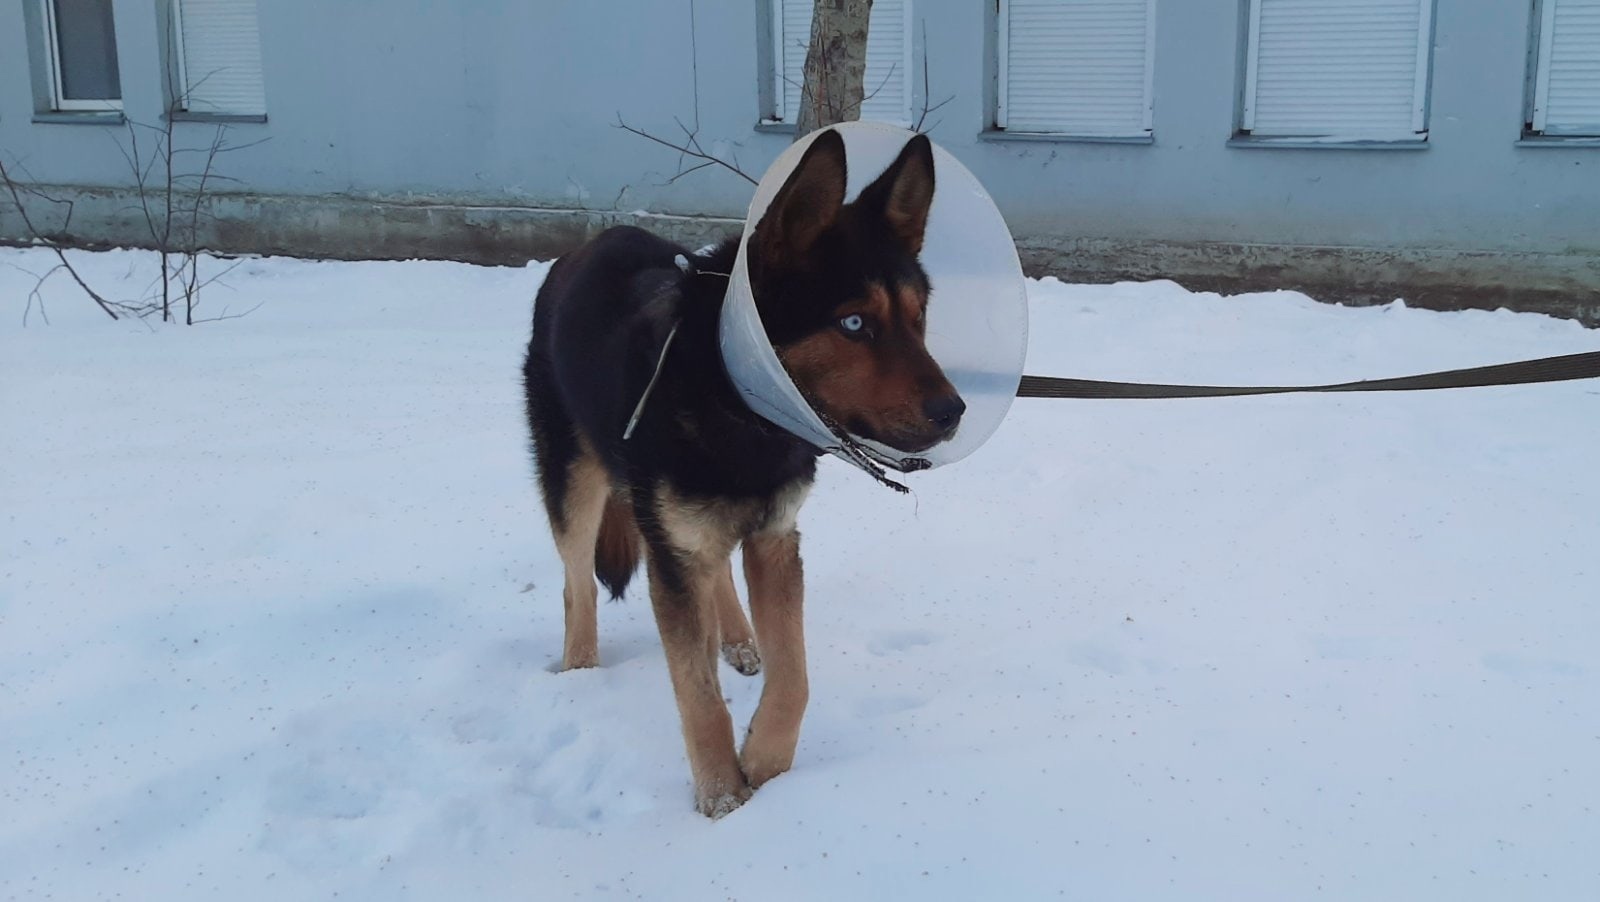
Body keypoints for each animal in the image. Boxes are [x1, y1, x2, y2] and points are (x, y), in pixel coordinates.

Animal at [521, 128, 960, 818]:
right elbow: (697, 694)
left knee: (714, 571)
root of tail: (582, 250)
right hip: (576, 481)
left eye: (918, 317)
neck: (737, 400)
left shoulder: (775, 537)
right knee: (577, 583)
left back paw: (738, 640)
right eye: (853, 323)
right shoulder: (677, 552)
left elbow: (796, 676)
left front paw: (766, 764)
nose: (954, 412)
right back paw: (582, 673)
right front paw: (723, 796)